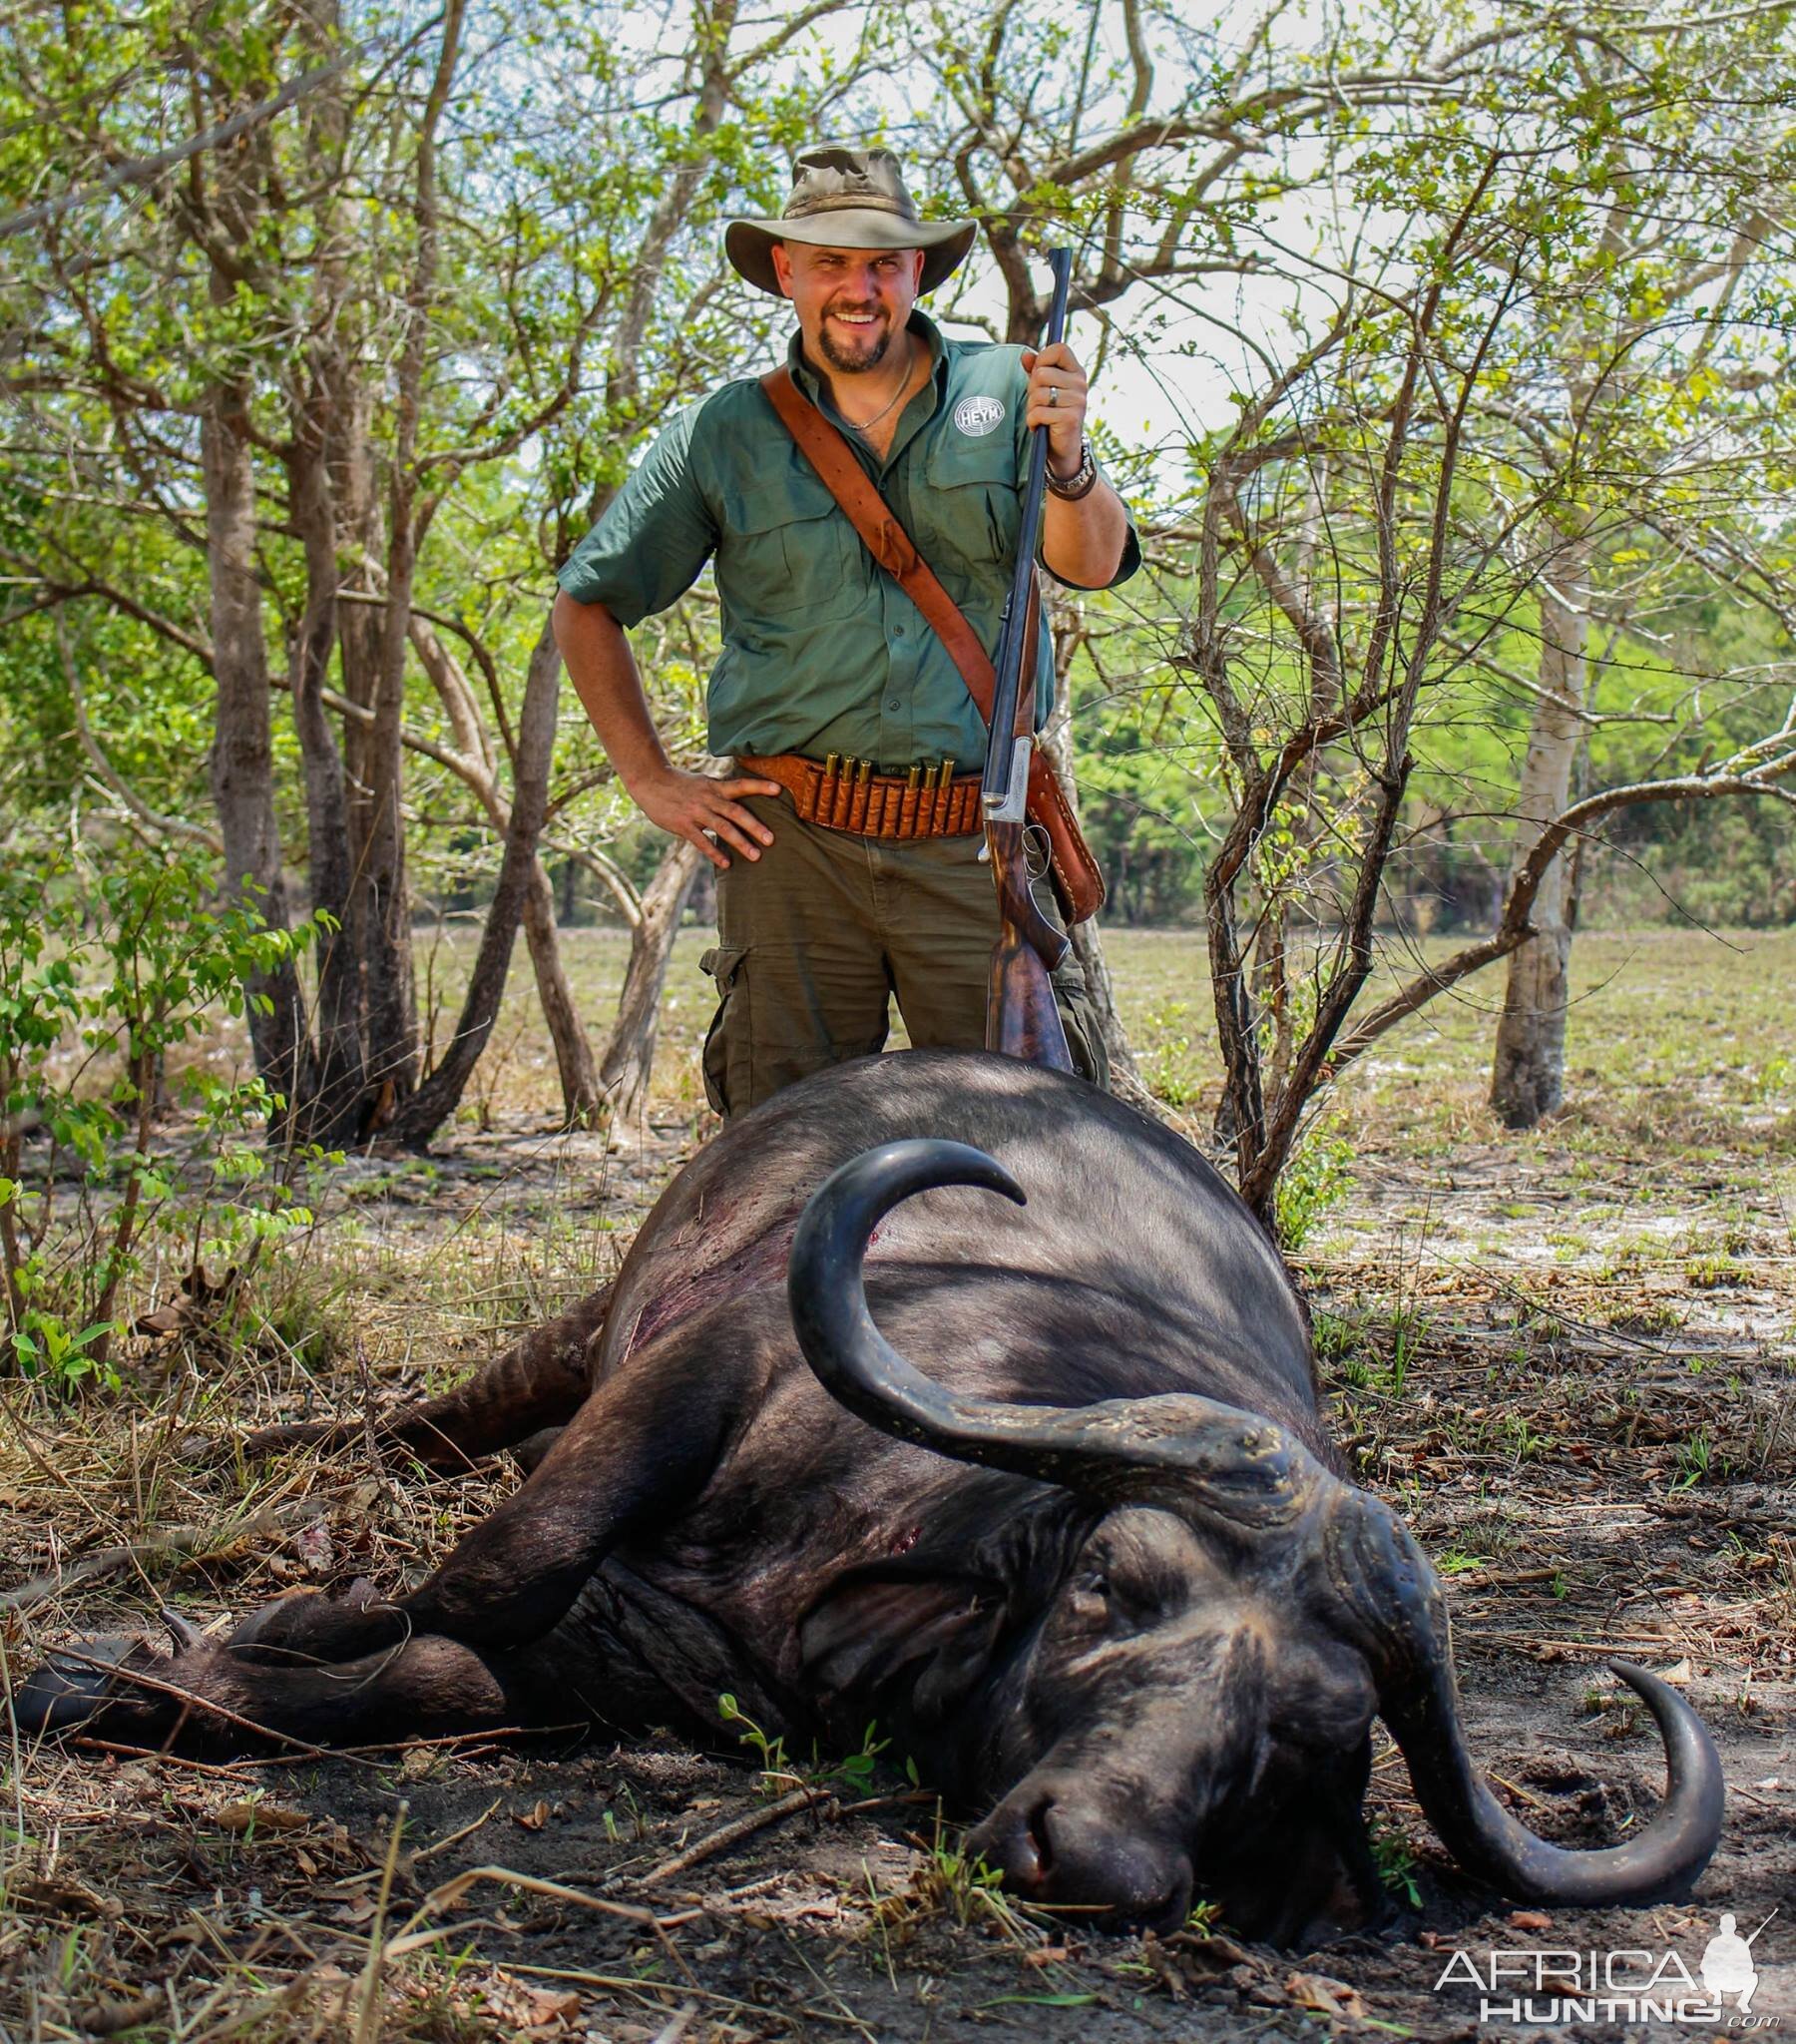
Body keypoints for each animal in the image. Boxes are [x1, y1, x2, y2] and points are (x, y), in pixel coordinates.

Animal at [17, 1046, 1724, 1937]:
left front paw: (185, 1679)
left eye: (1306, 1732)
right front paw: (159, 1656)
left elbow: (437, 1676)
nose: (1099, 1863)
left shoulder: (654, 1668)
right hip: (582, 1324)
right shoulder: (702, 1365)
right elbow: (485, 1578)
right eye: (1112, 1583)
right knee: (436, 1432)